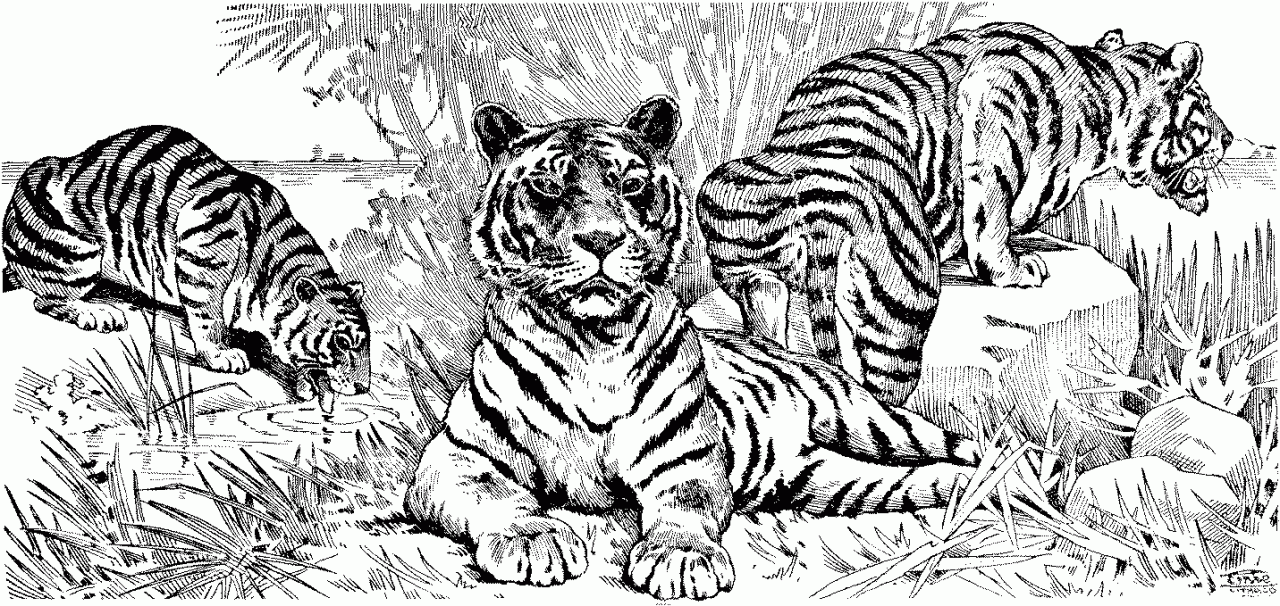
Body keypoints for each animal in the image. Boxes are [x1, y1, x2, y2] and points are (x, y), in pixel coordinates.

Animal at [2, 125, 371, 399]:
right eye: (341, 343)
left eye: (367, 343)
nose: (363, 388)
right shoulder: (201, 268)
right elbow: (209, 322)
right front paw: (223, 355)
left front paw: (304, 378)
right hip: (77, 253)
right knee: (46, 298)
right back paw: (97, 313)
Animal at [403, 96, 985, 600]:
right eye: (547, 186)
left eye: (632, 184)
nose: (601, 239)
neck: (593, 341)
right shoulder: (458, 454)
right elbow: (495, 494)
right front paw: (532, 540)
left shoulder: (686, 455)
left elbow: (685, 504)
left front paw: (681, 559)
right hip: (831, 481)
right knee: (911, 482)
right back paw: (965, 489)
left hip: (873, 421)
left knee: (957, 444)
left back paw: (994, 474)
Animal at [696, 23, 1233, 408]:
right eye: (1204, 106)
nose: (1228, 139)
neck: (1104, 96)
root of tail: (821, 208)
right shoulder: (997, 113)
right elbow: (990, 217)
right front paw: (1014, 268)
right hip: (904, 295)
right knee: (880, 392)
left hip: (735, 221)